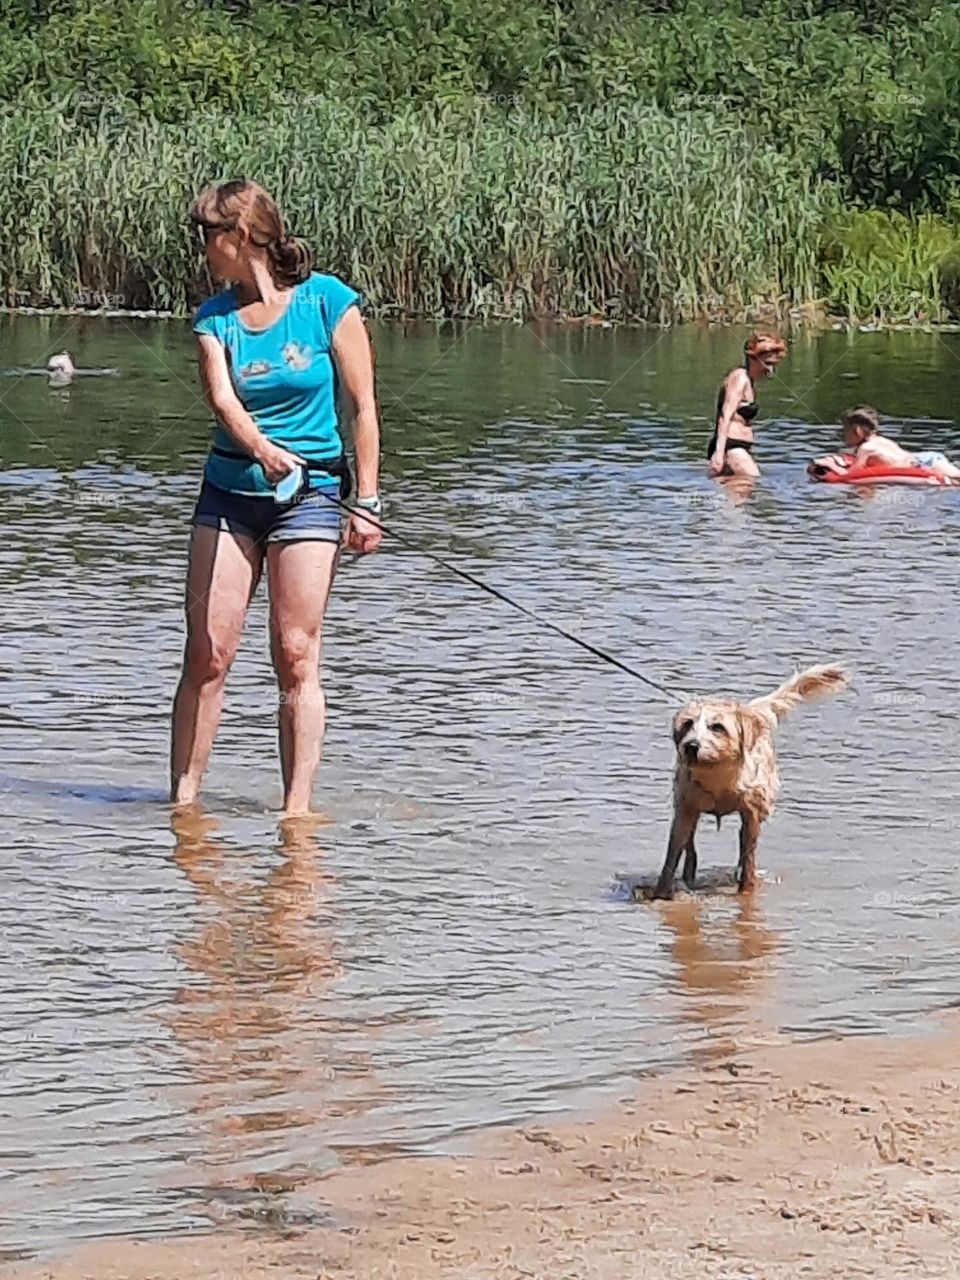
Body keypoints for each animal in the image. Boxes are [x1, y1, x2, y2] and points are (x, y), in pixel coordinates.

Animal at [655, 670, 849, 901]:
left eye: (717, 727)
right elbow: (672, 852)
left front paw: (746, 888)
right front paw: (661, 891)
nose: (691, 746)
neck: (719, 776)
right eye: (687, 724)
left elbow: (748, 856)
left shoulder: (752, 813)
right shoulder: (685, 809)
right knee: (690, 844)